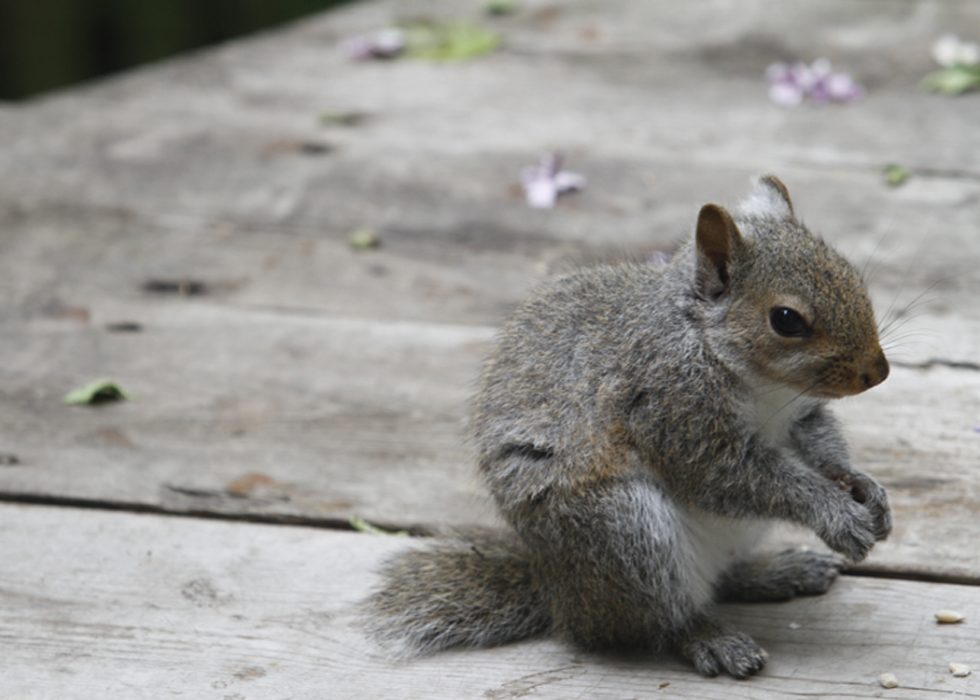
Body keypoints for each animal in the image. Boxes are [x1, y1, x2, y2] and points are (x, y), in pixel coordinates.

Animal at [363, 175, 892, 679]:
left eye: (850, 274)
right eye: (786, 320)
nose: (878, 373)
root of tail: (560, 597)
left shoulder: (800, 415)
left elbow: (822, 446)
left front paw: (863, 487)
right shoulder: (671, 410)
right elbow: (738, 479)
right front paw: (834, 512)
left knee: (721, 579)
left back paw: (777, 571)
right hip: (623, 531)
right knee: (661, 620)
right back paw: (711, 638)